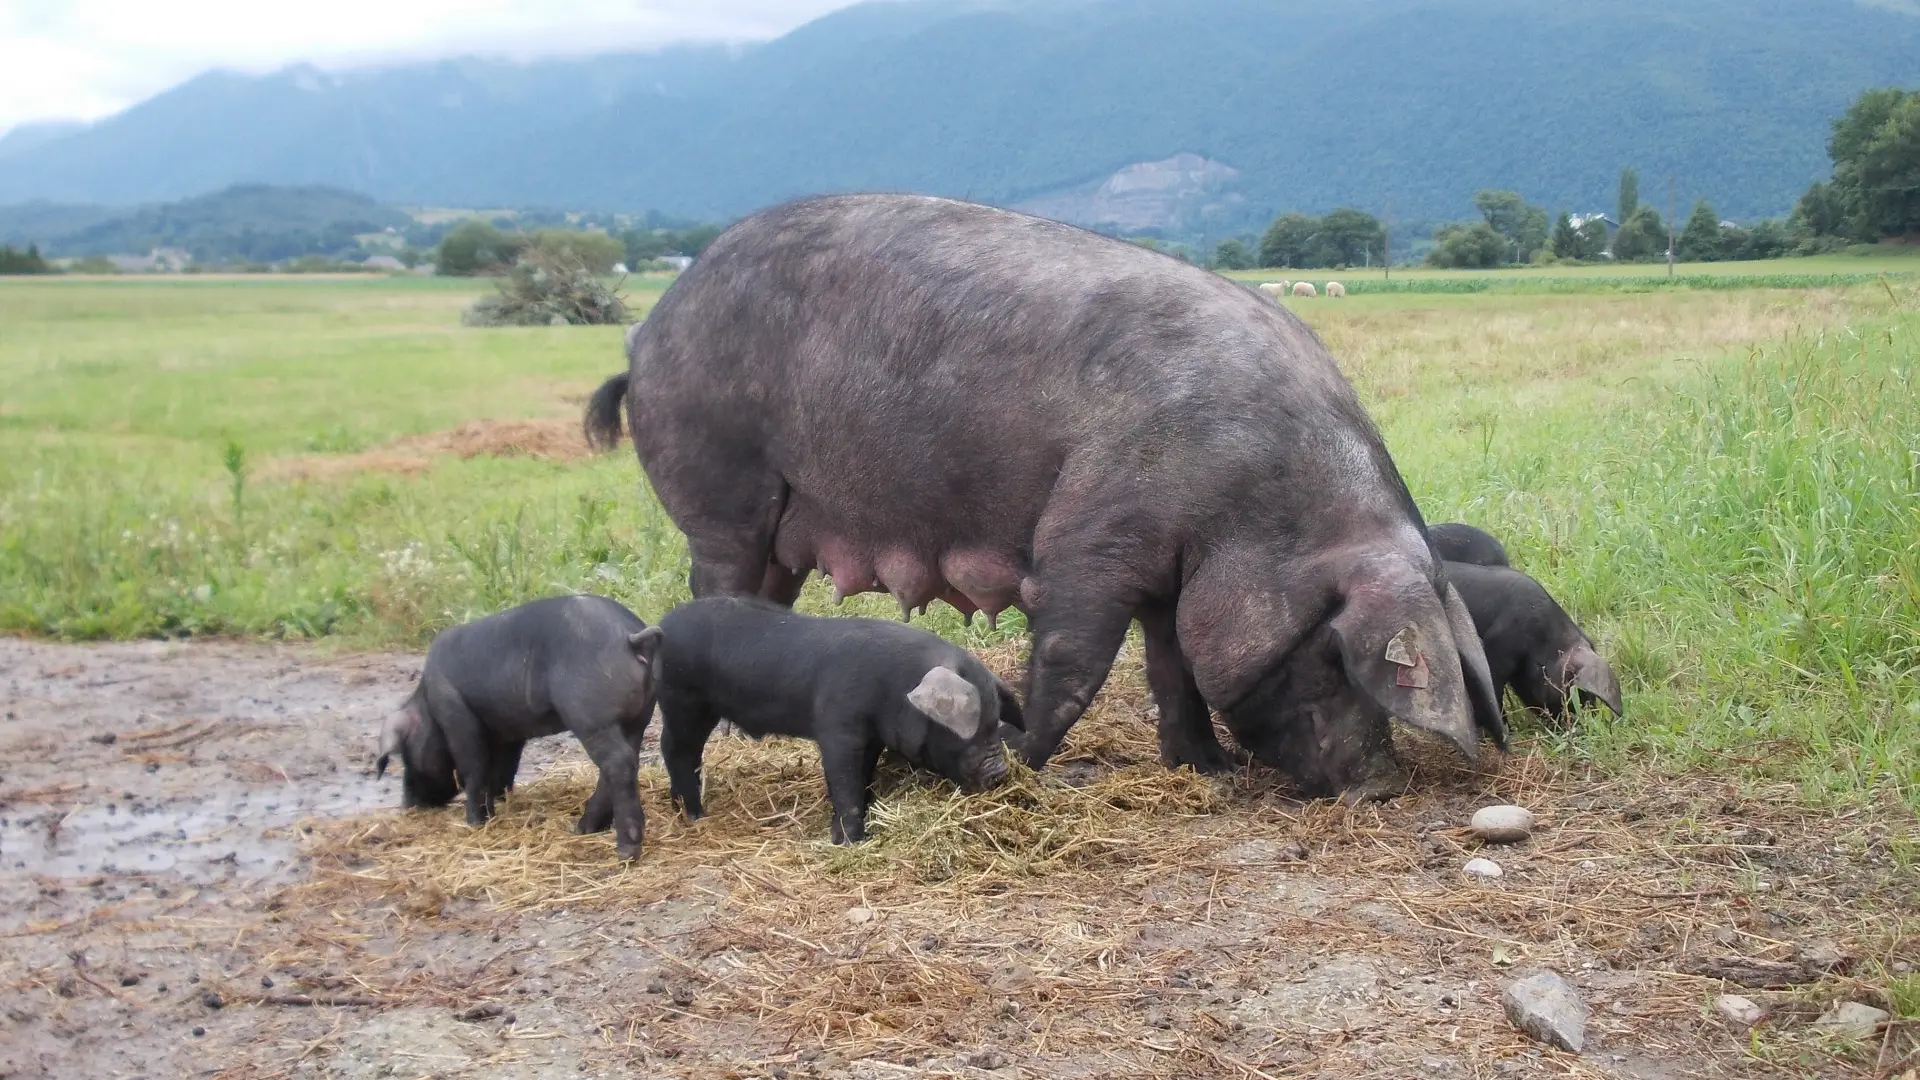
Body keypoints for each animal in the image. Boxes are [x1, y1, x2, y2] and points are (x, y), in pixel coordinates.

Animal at [576, 193, 1505, 799]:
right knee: (716, 581)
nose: (1380, 785)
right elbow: (1073, 656)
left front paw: (1206, 769)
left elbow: (1174, 666)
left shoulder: (1168, 571)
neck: (1256, 503)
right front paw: (1024, 755)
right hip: (721, 489)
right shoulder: (1093, 533)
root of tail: (645, 333)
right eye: (1333, 653)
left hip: (775, 523)